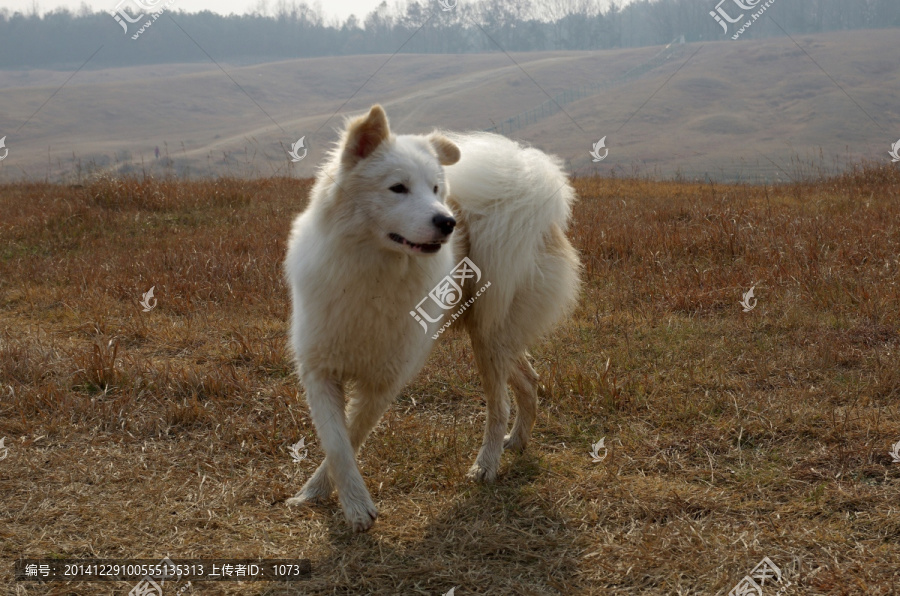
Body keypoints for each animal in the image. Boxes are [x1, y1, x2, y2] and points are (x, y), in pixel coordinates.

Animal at [284, 106, 580, 532]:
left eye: (436, 188)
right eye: (398, 188)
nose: (448, 223)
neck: (375, 273)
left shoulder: (384, 382)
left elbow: (351, 437)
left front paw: (350, 505)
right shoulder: (320, 372)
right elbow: (337, 444)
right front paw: (324, 496)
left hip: (489, 336)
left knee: (499, 406)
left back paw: (486, 465)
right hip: (492, 335)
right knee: (529, 379)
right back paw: (518, 441)